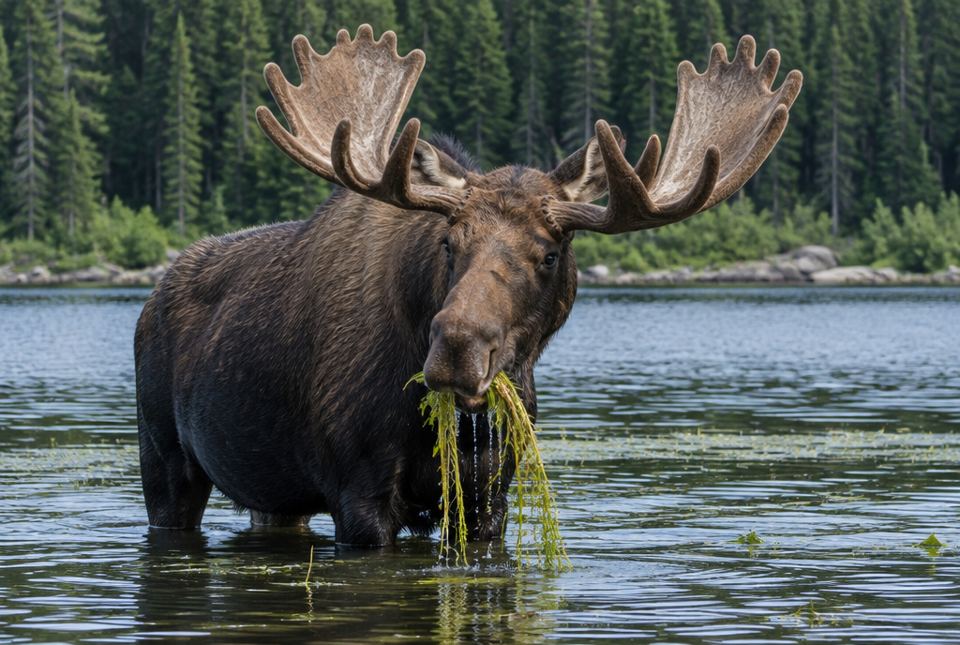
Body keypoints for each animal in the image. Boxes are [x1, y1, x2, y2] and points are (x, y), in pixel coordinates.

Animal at [135, 25, 801, 546]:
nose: (458, 348)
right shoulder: (358, 494)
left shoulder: (488, 497)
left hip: (273, 496)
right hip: (164, 459)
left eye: (550, 253)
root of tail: (151, 298)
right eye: (449, 243)